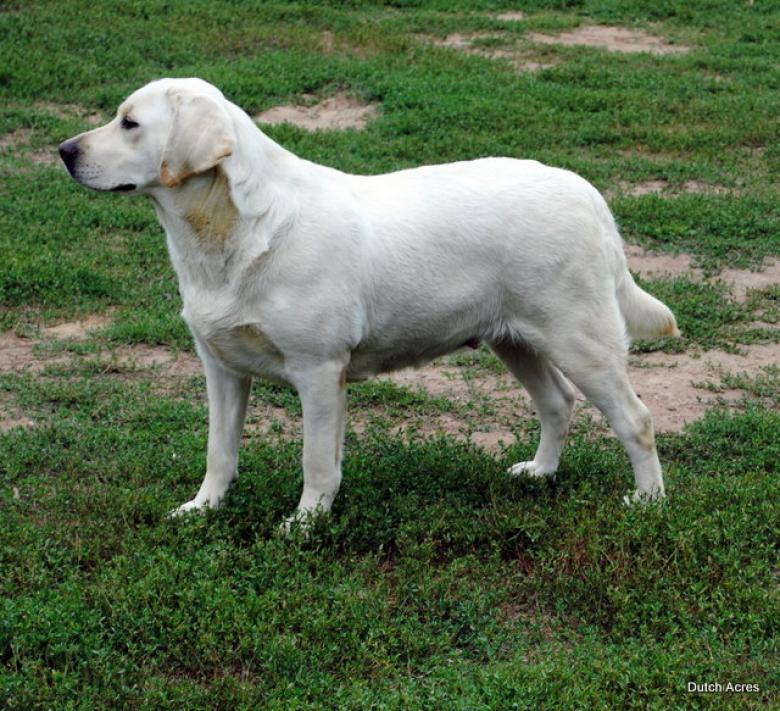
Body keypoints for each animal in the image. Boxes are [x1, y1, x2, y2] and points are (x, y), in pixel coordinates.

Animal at [61, 78, 680, 524]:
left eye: (130, 123)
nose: (64, 150)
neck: (227, 233)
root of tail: (589, 192)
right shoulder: (222, 367)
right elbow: (221, 451)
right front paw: (202, 509)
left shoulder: (317, 369)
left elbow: (315, 461)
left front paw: (304, 525)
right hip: (515, 340)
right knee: (557, 404)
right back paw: (541, 473)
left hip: (580, 340)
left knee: (636, 419)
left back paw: (648, 503)